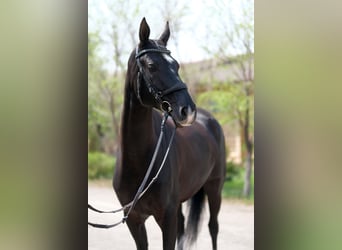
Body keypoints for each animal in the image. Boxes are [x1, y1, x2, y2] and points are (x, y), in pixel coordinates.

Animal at [113, 18, 227, 250]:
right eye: (151, 66)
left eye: (176, 65)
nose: (188, 110)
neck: (139, 161)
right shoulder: (134, 220)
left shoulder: (166, 217)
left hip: (215, 188)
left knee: (213, 227)